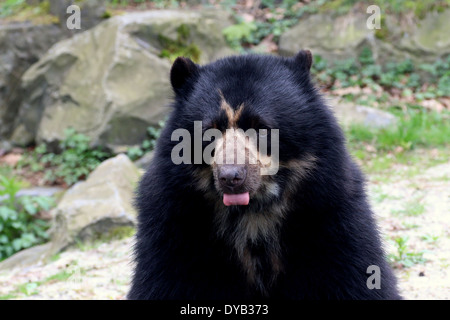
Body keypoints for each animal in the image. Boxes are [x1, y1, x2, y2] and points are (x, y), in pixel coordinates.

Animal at [128, 50, 402, 300]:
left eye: (260, 128)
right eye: (210, 132)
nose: (231, 177)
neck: (253, 213)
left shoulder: (331, 213)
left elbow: (356, 278)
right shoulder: (174, 223)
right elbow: (164, 283)